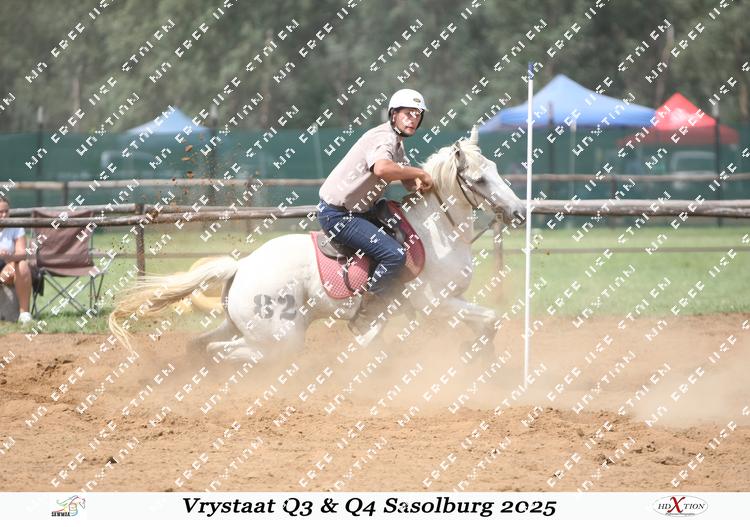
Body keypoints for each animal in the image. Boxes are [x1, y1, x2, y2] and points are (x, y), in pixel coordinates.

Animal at [108, 126, 526, 360]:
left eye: (495, 170)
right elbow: (490, 320)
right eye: (480, 178)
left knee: (200, 346)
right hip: (280, 336)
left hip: (238, 324)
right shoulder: (435, 304)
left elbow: (485, 323)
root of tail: (242, 266)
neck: (436, 232)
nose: (518, 211)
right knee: (225, 352)